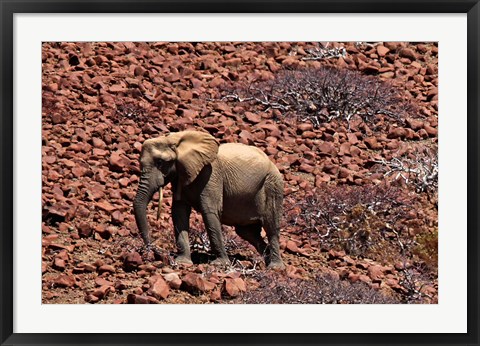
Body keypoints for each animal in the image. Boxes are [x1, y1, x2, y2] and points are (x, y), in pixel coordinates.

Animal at [131, 131, 284, 268]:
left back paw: (275, 267)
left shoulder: (211, 175)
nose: (153, 251)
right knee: (247, 232)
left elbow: (209, 212)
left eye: (160, 162)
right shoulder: (181, 177)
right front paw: (183, 263)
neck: (177, 139)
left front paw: (220, 264)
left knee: (271, 227)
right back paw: (266, 263)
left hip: (272, 185)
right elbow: (179, 212)